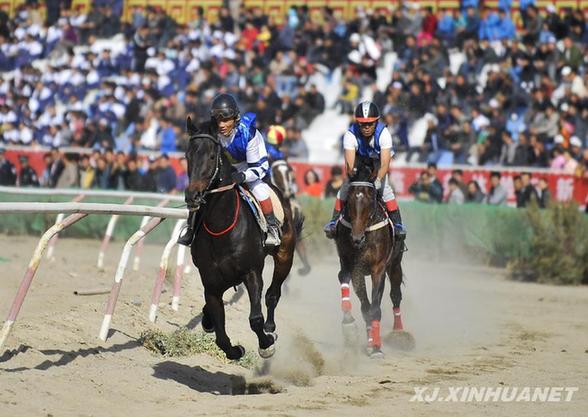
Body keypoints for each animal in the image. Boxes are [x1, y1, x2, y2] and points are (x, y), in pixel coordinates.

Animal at [186, 122, 300, 358]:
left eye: (212, 156)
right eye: (187, 155)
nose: (192, 195)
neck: (221, 226)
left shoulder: (252, 272)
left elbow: (255, 318)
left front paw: (266, 344)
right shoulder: (210, 281)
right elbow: (220, 333)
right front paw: (234, 349)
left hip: (285, 256)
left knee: (272, 294)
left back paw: (270, 328)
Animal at [334, 161, 412, 356]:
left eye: (370, 200)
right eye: (349, 200)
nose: (356, 238)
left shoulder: (379, 269)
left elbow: (375, 307)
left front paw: (376, 346)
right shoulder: (353, 267)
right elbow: (365, 306)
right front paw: (353, 329)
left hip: (395, 265)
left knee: (395, 296)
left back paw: (399, 333)